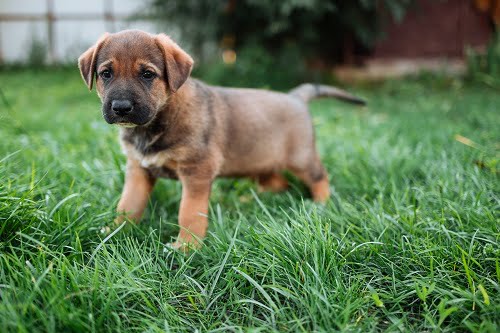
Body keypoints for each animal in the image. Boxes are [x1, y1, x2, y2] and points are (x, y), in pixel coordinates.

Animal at [79, 30, 368, 249]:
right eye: (106, 73)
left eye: (147, 74)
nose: (121, 108)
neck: (157, 122)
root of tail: (296, 97)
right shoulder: (138, 170)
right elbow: (128, 204)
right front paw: (114, 230)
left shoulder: (196, 171)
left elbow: (189, 213)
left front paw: (186, 247)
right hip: (262, 162)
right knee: (278, 182)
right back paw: (253, 199)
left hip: (301, 158)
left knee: (319, 177)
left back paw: (320, 205)